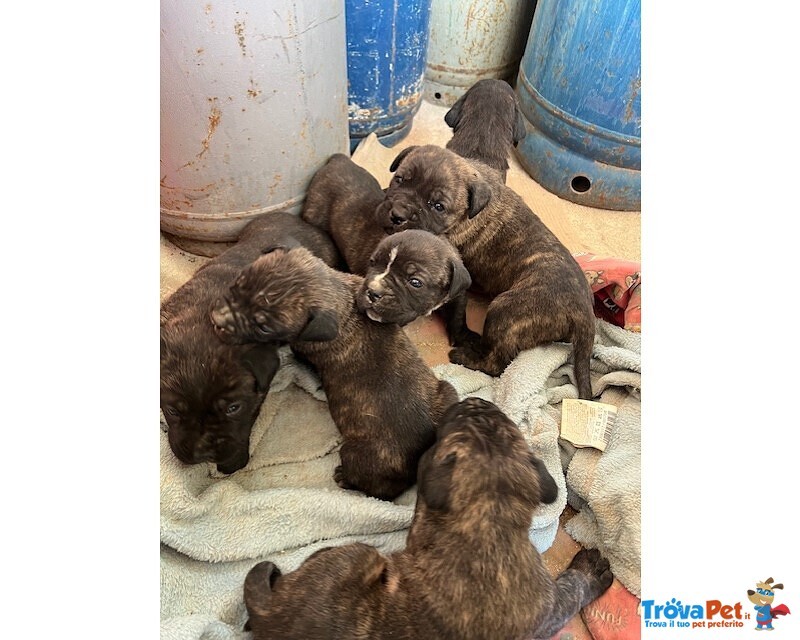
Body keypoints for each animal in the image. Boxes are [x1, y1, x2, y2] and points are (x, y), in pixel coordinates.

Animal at [209, 245, 460, 500]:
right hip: (448, 391)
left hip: (356, 454)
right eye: (238, 284)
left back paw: (345, 478)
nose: (216, 321)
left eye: (264, 327)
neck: (339, 300)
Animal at [242, 398, 612, 636]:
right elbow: (573, 588)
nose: (476, 400)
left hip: (359, 554)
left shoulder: (550, 608)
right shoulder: (551, 607)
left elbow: (574, 587)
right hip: (362, 554)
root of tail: (268, 613)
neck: (486, 523)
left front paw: (590, 571)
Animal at [376, 145, 592, 400]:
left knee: (497, 365)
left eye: (438, 206)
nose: (397, 214)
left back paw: (465, 357)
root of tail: (584, 313)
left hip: (505, 312)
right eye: (399, 179)